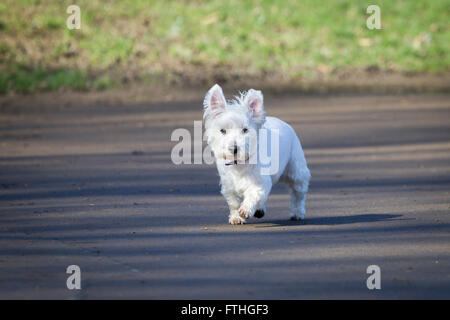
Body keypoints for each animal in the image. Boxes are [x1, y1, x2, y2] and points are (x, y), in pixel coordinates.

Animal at [203, 84, 310, 224]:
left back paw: (297, 213)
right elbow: (233, 203)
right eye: (222, 130)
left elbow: (254, 194)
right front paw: (236, 217)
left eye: (245, 130)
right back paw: (260, 210)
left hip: (296, 170)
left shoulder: (260, 181)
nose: (233, 148)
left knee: (298, 194)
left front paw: (245, 210)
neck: (239, 164)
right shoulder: (228, 185)